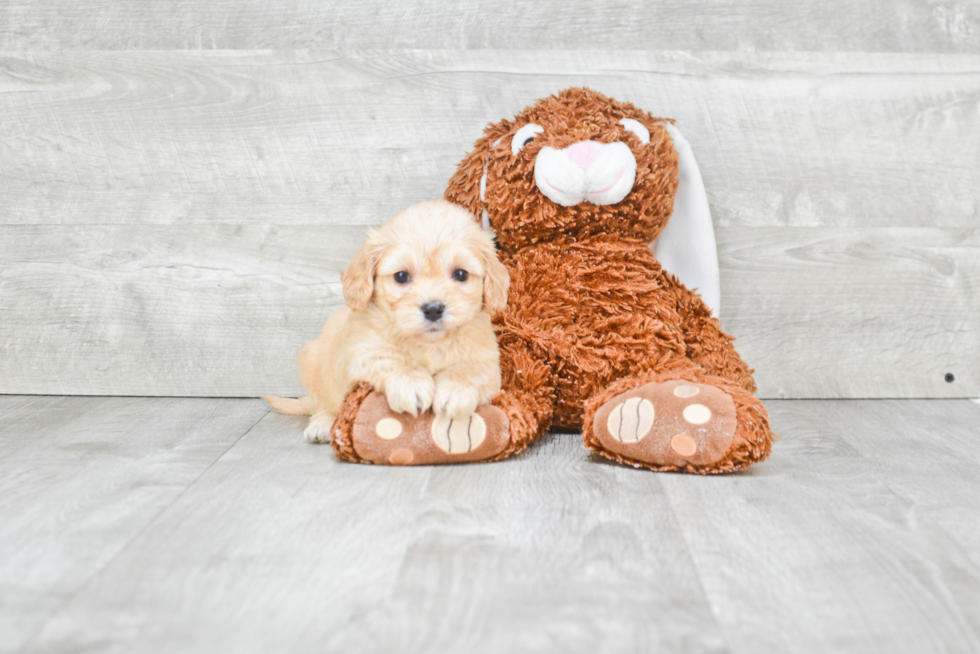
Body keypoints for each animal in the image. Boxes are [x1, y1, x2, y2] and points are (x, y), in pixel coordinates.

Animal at [264, 201, 510, 446]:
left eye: (460, 274)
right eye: (401, 276)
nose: (433, 309)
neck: (428, 343)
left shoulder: (488, 361)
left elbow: (470, 370)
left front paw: (455, 392)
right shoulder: (359, 352)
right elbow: (390, 357)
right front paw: (411, 385)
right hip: (312, 361)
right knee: (323, 404)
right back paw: (322, 426)